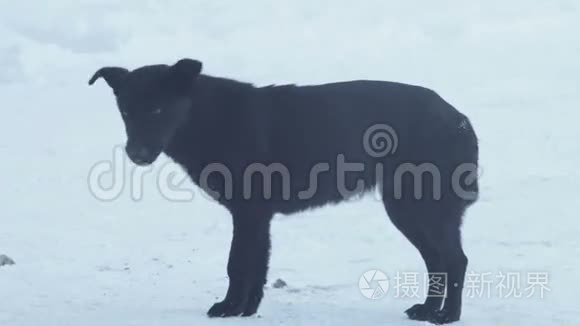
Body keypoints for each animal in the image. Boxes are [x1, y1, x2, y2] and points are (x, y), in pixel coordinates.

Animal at [89, 58, 480, 324]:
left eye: (157, 109)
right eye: (126, 111)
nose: (137, 154)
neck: (207, 118)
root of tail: (459, 118)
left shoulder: (249, 213)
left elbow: (238, 264)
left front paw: (228, 308)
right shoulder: (257, 218)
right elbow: (255, 266)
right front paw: (246, 310)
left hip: (422, 208)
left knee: (455, 260)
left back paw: (447, 316)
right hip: (406, 211)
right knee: (437, 261)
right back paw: (427, 309)